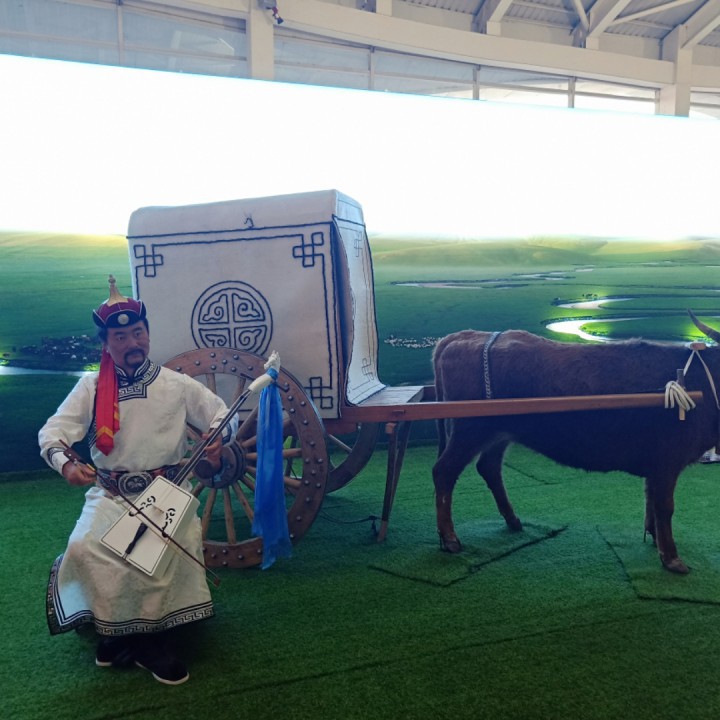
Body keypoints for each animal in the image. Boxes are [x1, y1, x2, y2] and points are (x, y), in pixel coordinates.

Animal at [432, 312, 720, 574]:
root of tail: (461, 336)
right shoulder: (667, 462)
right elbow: (665, 506)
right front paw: (672, 558)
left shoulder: (656, 464)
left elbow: (650, 499)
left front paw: (653, 537)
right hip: (470, 430)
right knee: (444, 471)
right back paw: (450, 539)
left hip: (498, 433)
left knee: (489, 467)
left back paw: (513, 521)